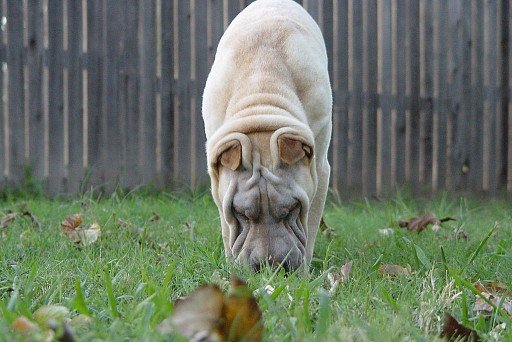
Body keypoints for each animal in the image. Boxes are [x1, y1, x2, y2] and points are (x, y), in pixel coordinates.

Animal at [202, 0, 334, 272]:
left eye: (292, 209)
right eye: (241, 213)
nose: (270, 266)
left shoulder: (319, 170)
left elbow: (310, 226)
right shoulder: (218, 183)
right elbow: (226, 228)